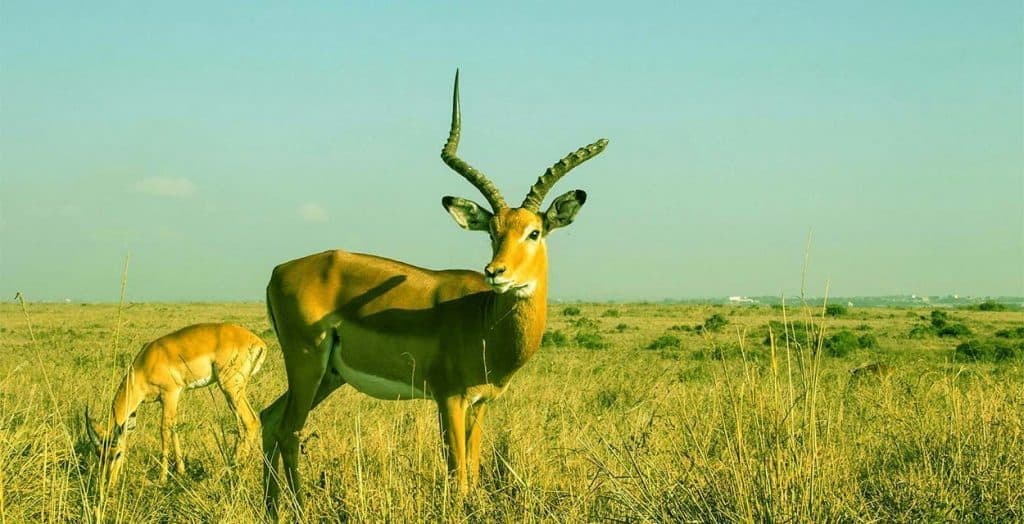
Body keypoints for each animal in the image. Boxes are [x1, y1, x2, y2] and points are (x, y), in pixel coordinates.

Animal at [85, 323, 266, 487]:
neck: (145, 363)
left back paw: (236, 467)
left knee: (251, 421)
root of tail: (259, 342)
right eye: (99, 454)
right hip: (234, 393)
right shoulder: (172, 398)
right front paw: (181, 470)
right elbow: (174, 429)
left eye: (118, 454)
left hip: (230, 387)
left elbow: (164, 431)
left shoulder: (169, 395)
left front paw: (162, 478)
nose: (108, 482)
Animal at [260, 71, 608, 516]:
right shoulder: (449, 399)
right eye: (492, 231)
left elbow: (473, 469)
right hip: (307, 362)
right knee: (289, 430)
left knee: (269, 419)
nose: (496, 272)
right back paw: (299, 509)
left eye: (534, 232)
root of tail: (279, 270)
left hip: (328, 375)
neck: (483, 320)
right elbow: (457, 473)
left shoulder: (479, 404)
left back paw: (270, 507)